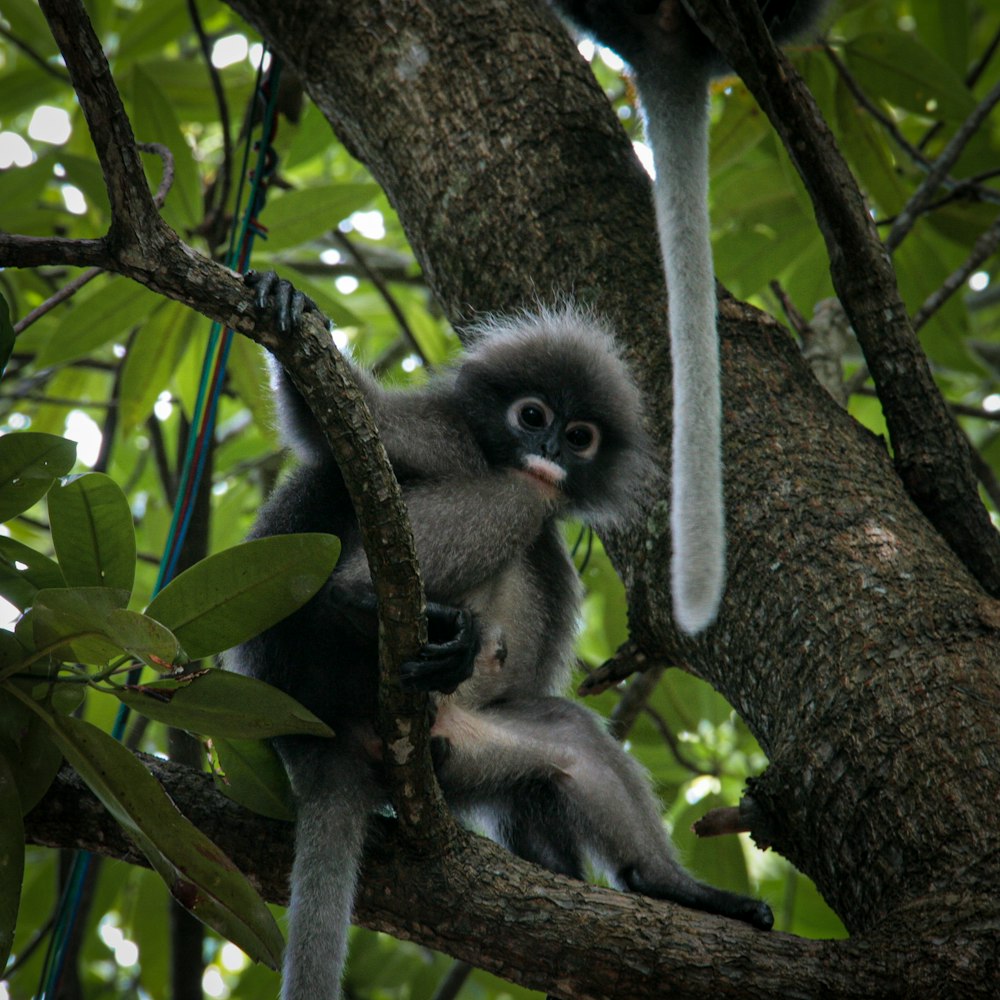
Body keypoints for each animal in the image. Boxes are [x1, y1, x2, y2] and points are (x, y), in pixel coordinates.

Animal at [229, 270, 772, 996]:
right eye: (532, 417)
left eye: (579, 436)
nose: (547, 452)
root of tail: (312, 739)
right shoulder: (441, 432)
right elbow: (352, 423)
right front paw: (286, 304)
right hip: (325, 659)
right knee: (516, 496)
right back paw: (366, 600)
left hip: (463, 744)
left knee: (570, 742)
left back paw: (668, 886)